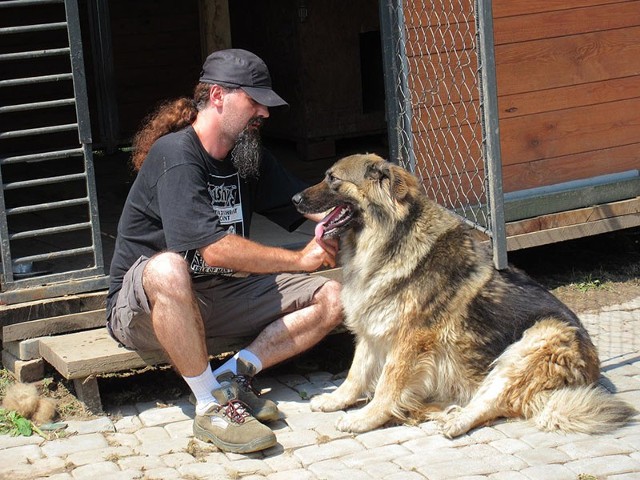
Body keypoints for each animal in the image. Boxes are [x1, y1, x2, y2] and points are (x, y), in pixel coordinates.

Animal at [292, 153, 632, 436]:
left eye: (333, 179)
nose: (294, 199)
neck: (391, 238)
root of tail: (591, 375)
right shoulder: (373, 329)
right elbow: (356, 373)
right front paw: (337, 400)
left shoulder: (409, 339)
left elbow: (388, 383)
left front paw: (366, 418)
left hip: (534, 343)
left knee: (493, 402)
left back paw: (455, 420)